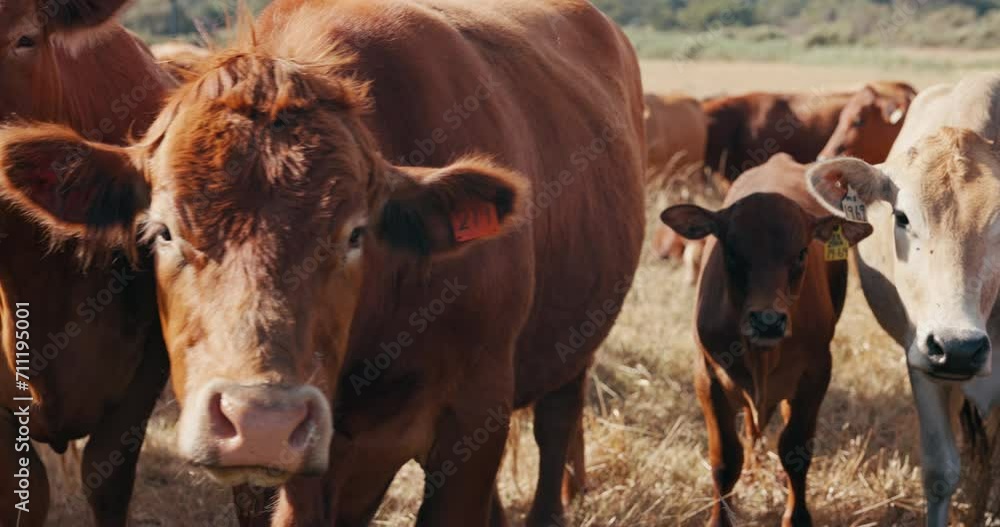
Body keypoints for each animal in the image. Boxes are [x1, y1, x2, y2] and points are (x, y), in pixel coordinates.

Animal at [661, 153, 872, 527]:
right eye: (731, 252)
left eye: (801, 253)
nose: (768, 320)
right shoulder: (707, 377)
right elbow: (724, 459)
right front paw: (720, 518)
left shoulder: (816, 372)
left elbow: (795, 450)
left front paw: (796, 517)